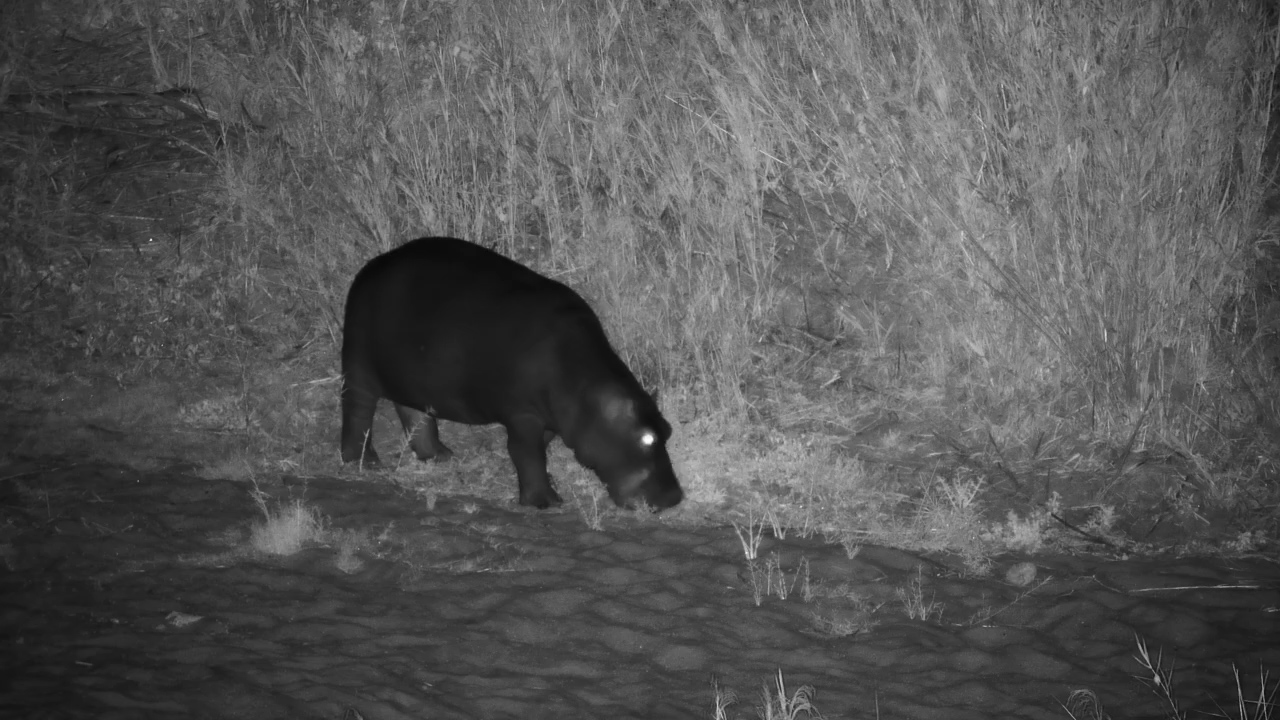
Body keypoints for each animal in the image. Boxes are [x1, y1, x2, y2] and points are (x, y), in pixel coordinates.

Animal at [340, 236, 684, 511]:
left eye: (667, 430)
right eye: (646, 439)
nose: (674, 497)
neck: (584, 388)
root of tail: (372, 266)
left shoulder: (550, 419)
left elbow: (540, 449)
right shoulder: (522, 414)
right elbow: (526, 454)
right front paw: (546, 503)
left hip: (412, 379)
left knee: (414, 412)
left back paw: (441, 456)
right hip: (357, 365)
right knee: (357, 411)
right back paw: (364, 463)